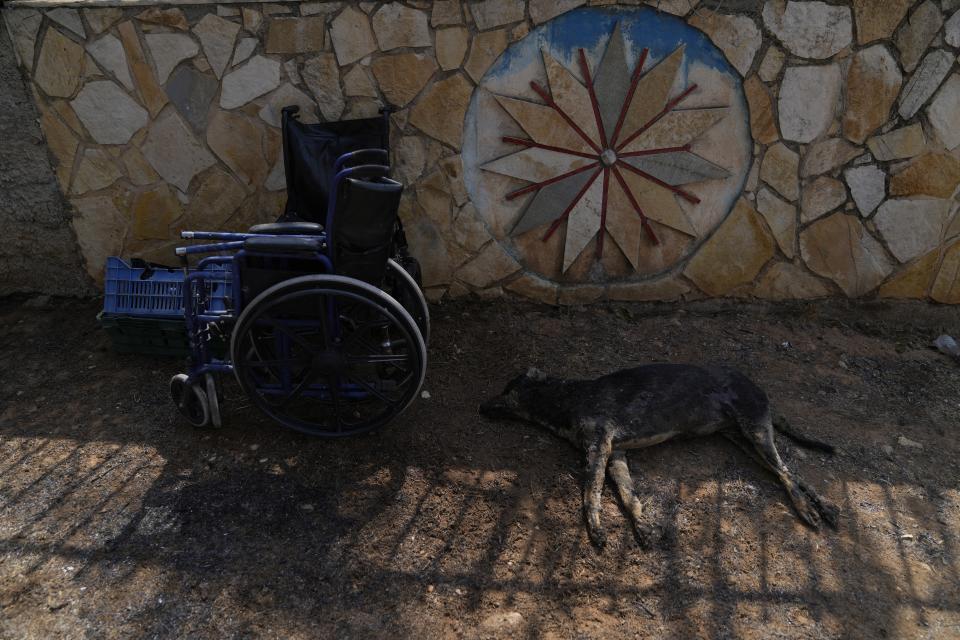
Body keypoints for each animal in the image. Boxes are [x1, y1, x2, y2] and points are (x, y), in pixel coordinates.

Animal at [480, 362, 840, 548]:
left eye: (506, 390)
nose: (480, 407)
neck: (564, 397)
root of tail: (760, 390)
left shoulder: (599, 448)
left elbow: (589, 494)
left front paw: (595, 529)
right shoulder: (616, 453)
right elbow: (629, 496)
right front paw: (642, 526)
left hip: (755, 431)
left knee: (785, 473)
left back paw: (808, 510)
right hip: (744, 441)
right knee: (790, 472)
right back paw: (826, 507)